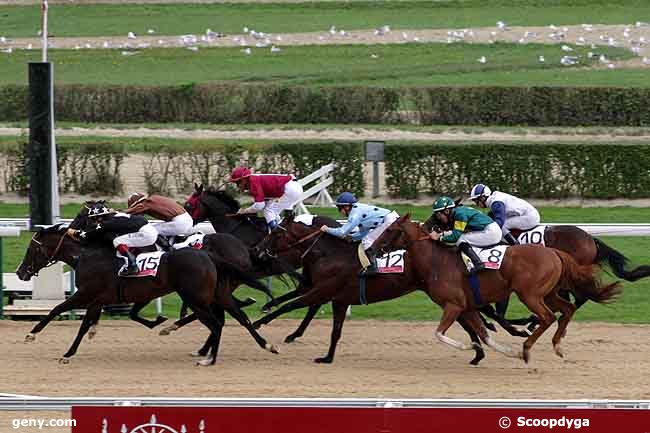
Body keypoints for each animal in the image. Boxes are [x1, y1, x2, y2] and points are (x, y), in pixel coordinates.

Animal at [15, 224, 278, 362]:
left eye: (32, 249)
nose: (20, 272)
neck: (86, 255)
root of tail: (209, 254)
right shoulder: (99, 299)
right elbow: (85, 324)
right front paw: (71, 350)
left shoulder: (86, 294)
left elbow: (56, 309)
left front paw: (32, 335)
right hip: (217, 294)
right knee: (240, 318)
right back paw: (267, 345)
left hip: (196, 298)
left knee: (216, 323)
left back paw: (207, 356)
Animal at [372, 213, 620, 362]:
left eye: (390, 229)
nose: (373, 248)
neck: (436, 260)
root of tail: (555, 253)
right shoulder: (467, 306)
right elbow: (484, 335)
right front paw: (498, 350)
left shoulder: (453, 305)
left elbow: (439, 333)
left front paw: (469, 347)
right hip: (549, 293)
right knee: (567, 309)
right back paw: (556, 344)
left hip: (529, 294)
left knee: (549, 316)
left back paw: (528, 347)